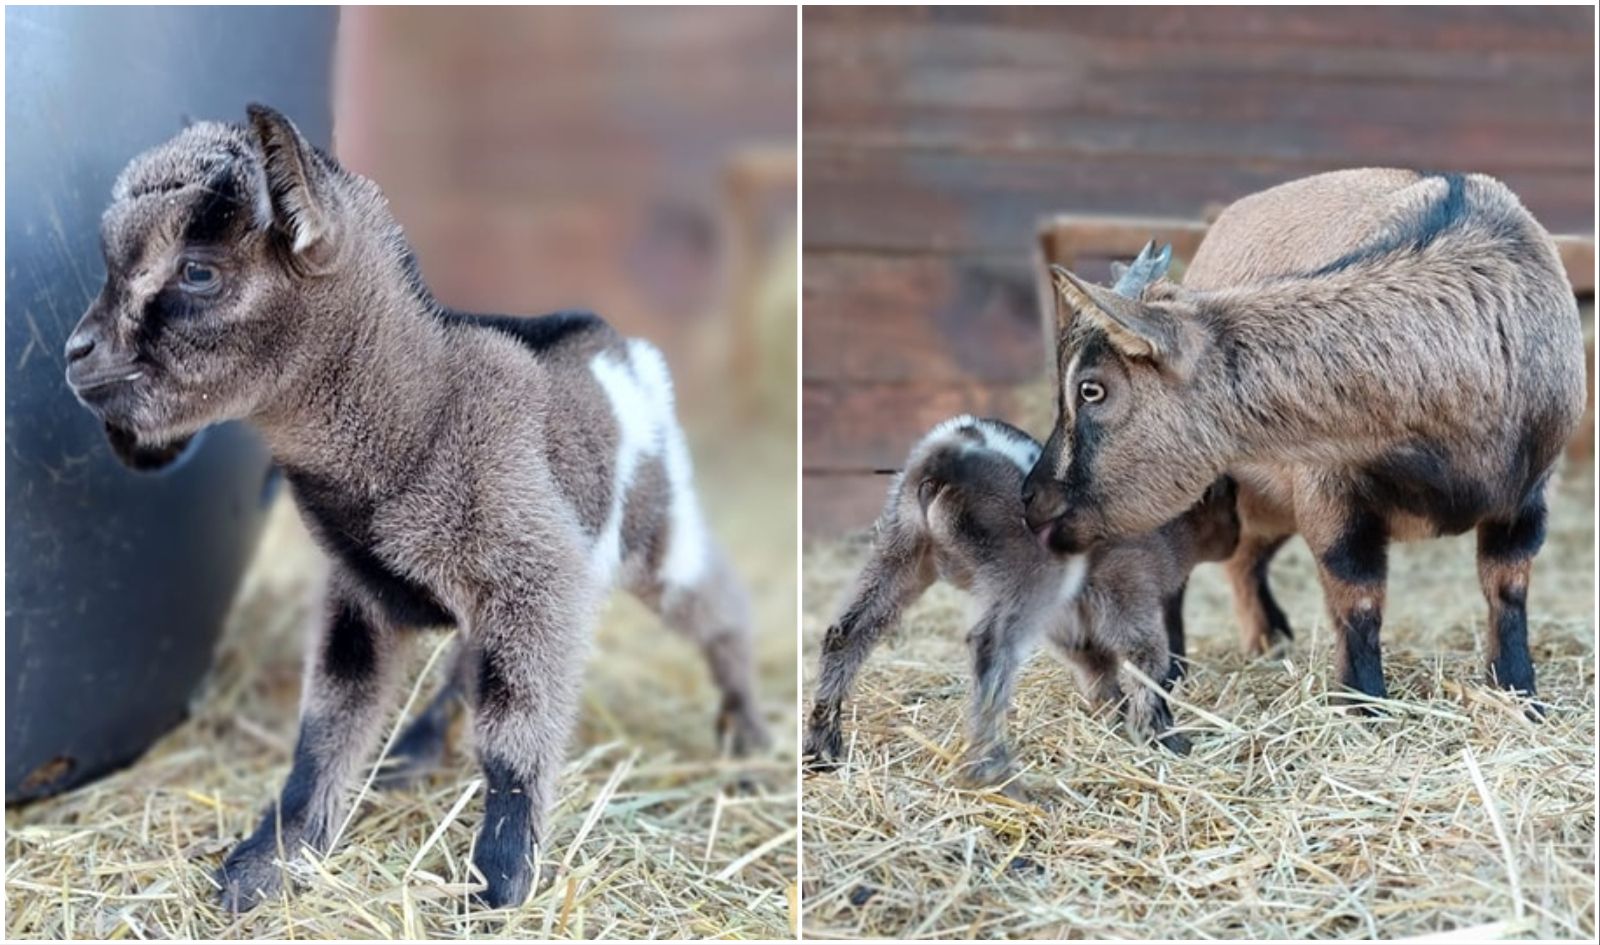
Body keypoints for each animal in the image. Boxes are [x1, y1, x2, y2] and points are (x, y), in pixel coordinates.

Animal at [1024, 171, 1587, 716]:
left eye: (1091, 389)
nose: (1032, 497)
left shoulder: (1529, 489)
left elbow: (1507, 586)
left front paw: (1521, 695)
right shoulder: (1330, 489)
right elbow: (1357, 591)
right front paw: (1366, 706)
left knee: (1244, 554)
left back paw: (1267, 640)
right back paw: (1175, 669)